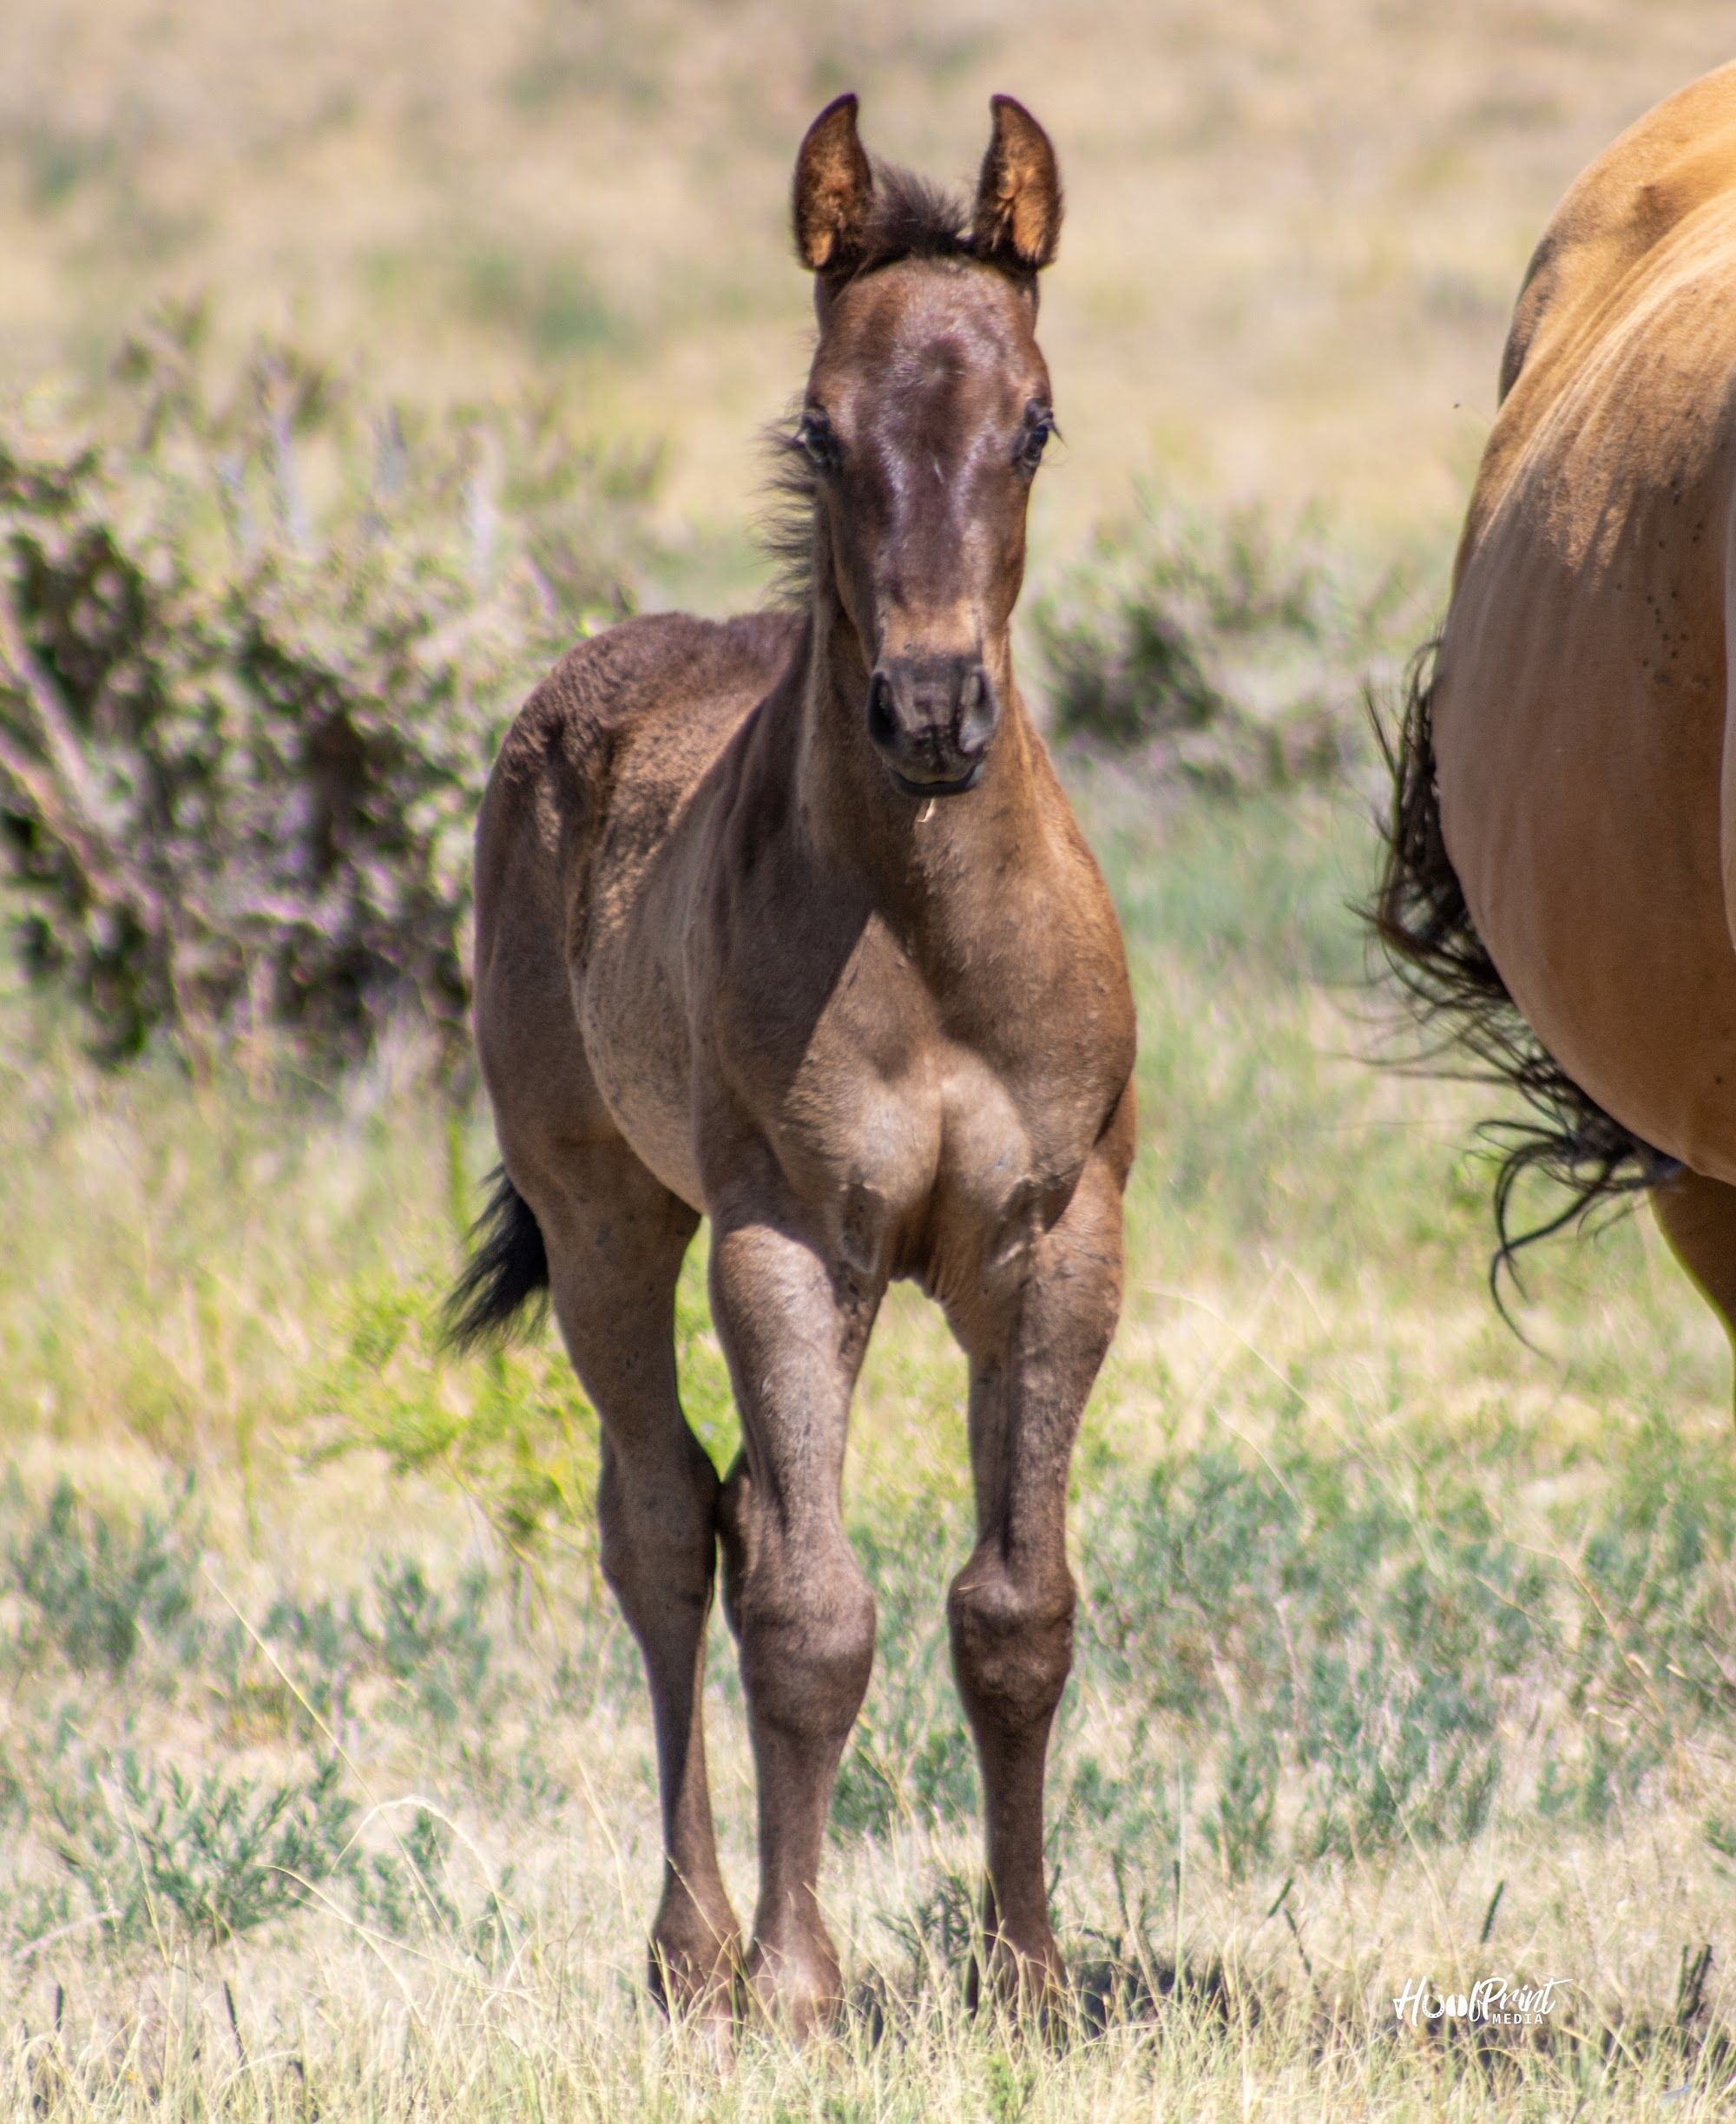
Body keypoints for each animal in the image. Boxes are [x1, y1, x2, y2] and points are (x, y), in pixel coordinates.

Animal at [445, 93, 1136, 2033]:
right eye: (822, 428)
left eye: (1033, 419)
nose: (930, 713)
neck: (931, 940)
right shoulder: (788, 1243)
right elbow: (814, 1615)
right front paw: (802, 1980)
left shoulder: (1053, 1243)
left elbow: (1015, 1609)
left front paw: (1029, 1973)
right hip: (606, 1220)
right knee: (669, 1527)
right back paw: (693, 1949)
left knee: (741, 1513)